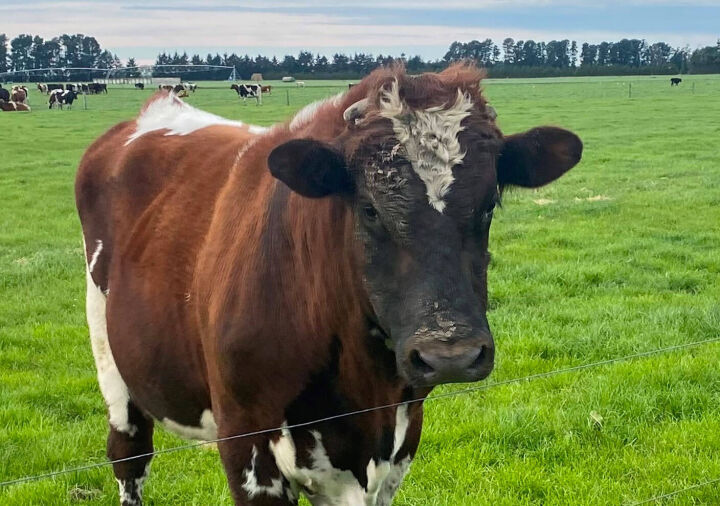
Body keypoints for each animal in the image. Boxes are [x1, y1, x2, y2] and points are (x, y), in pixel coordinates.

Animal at [75, 64, 582, 506]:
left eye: (488, 204)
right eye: (369, 209)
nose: (450, 354)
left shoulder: (397, 444)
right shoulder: (247, 445)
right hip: (110, 354)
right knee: (129, 454)